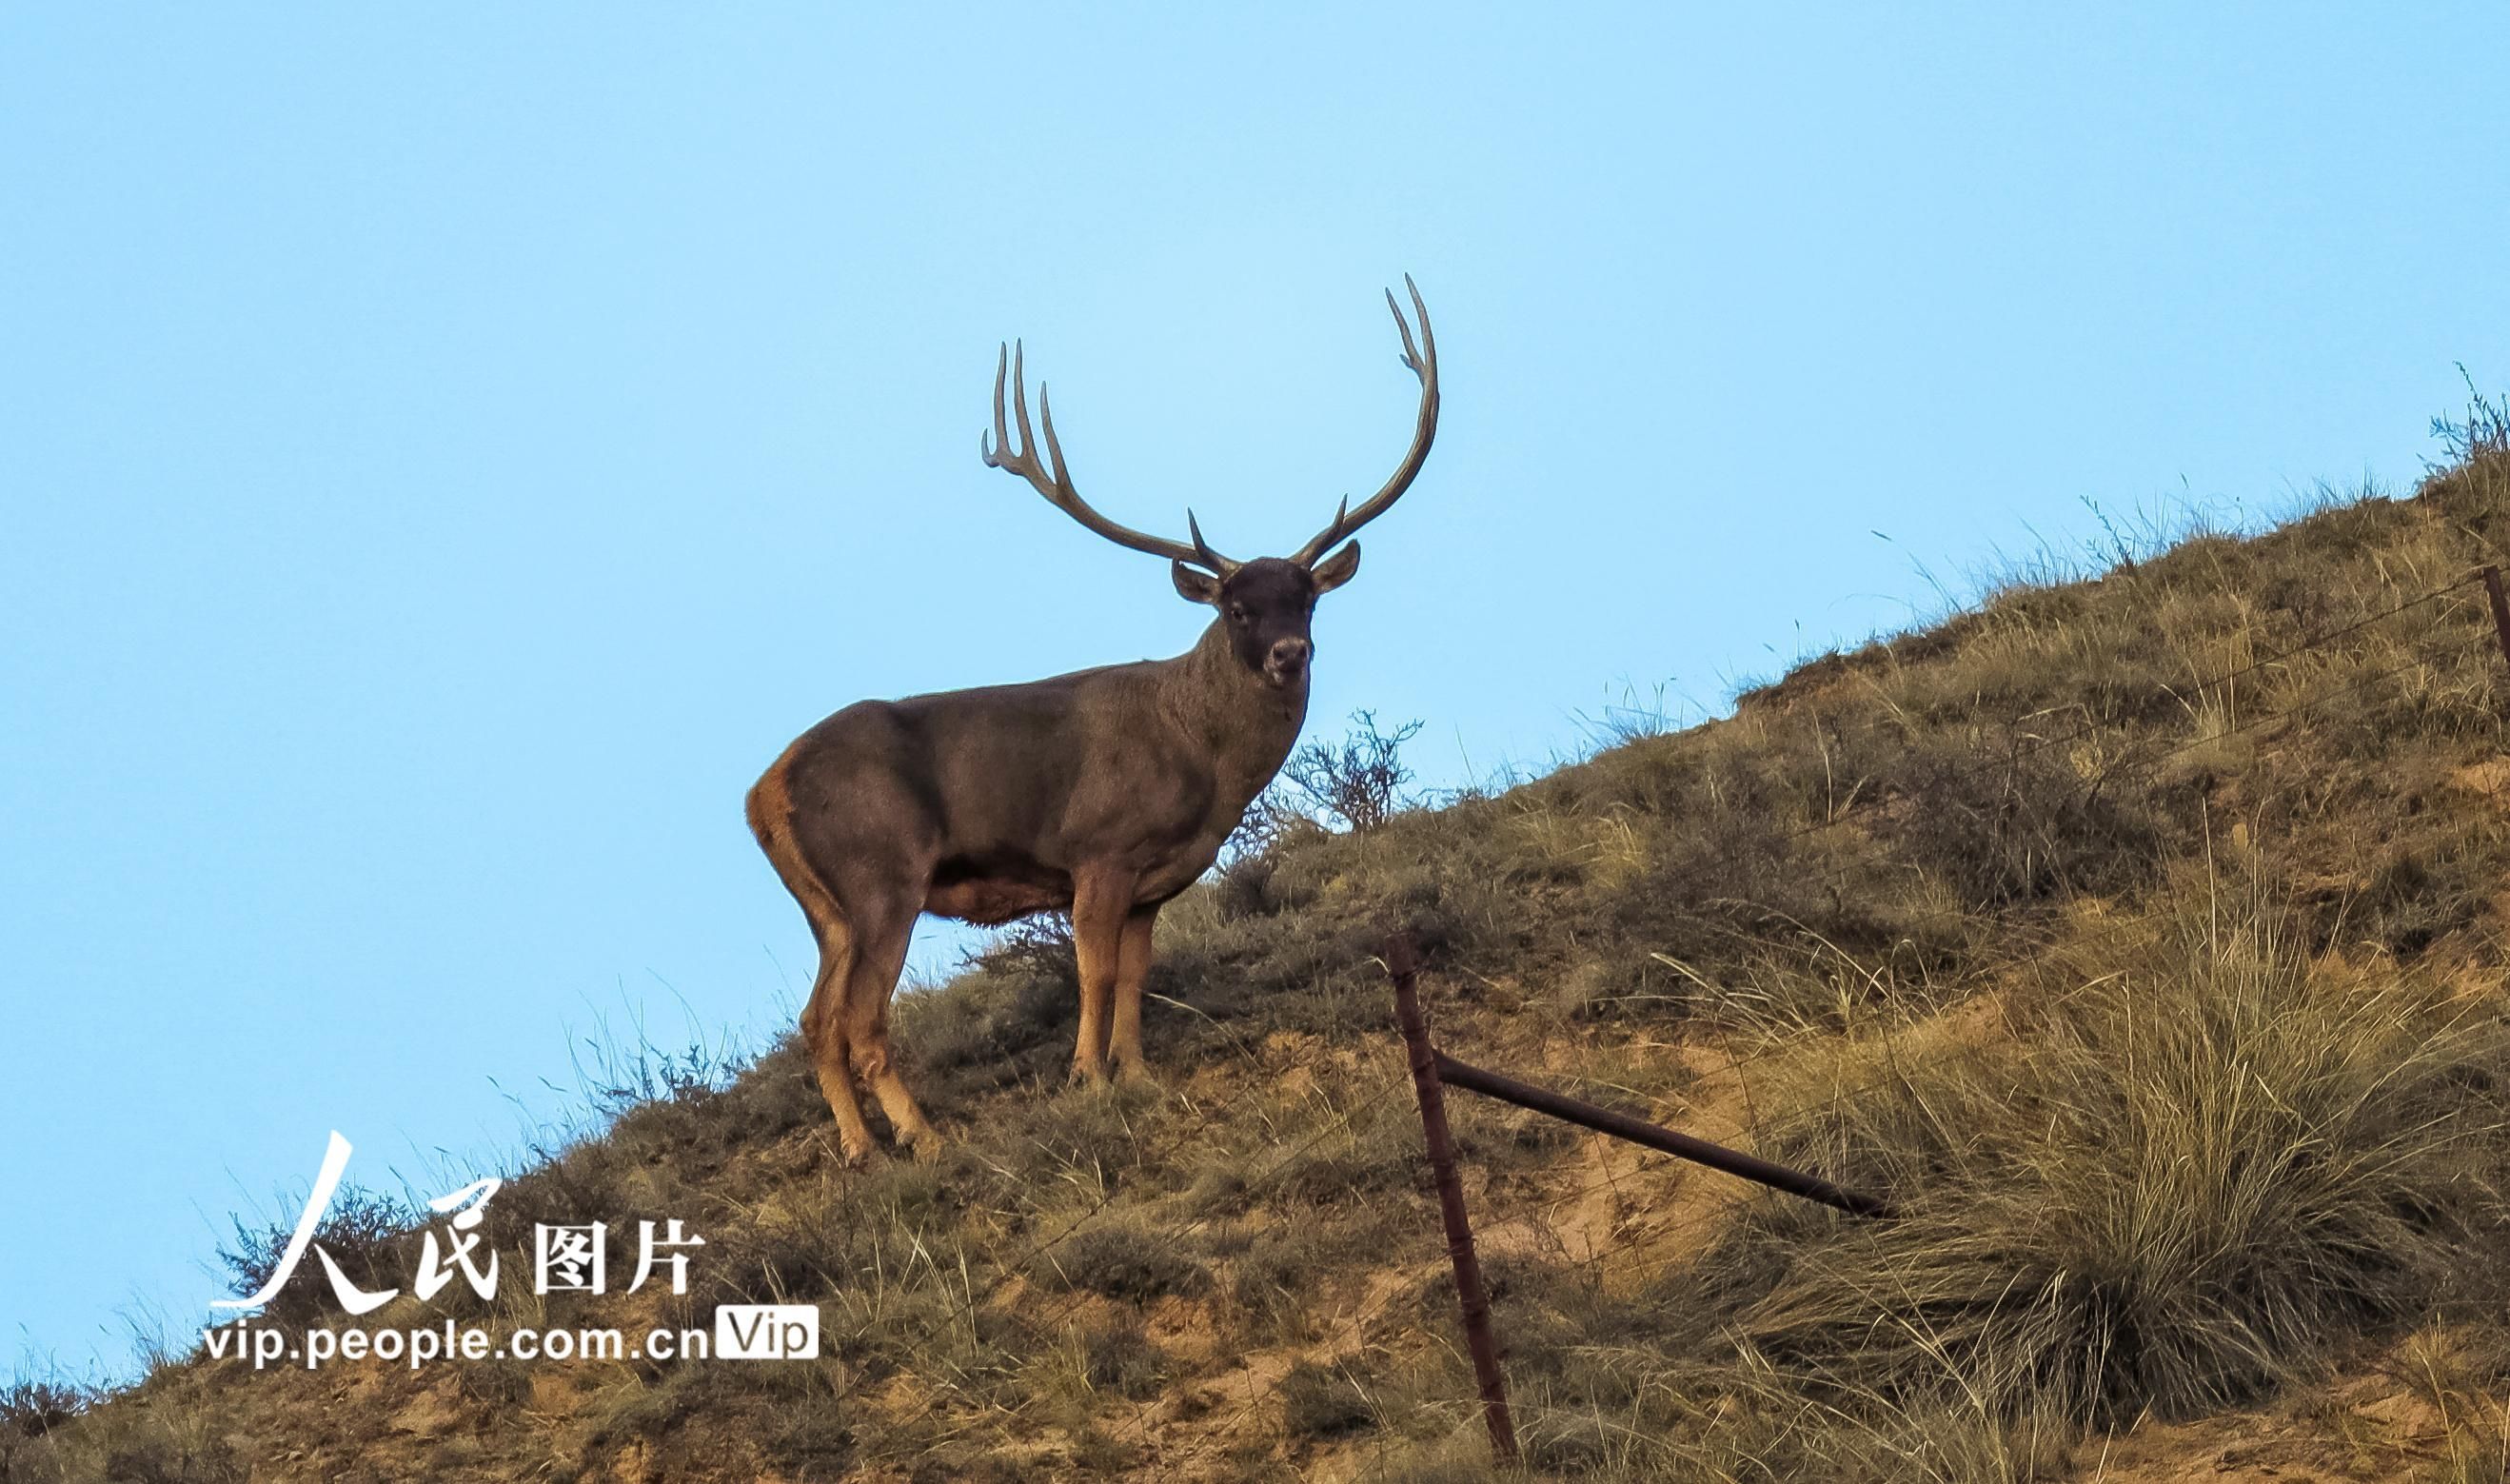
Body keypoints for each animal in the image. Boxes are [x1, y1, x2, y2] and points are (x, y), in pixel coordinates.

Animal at [742, 276, 1445, 1159]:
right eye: (1238, 609)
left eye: (1307, 598)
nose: (1289, 652)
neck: (1202, 762)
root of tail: (760, 795)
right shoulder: (1098, 848)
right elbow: (1095, 970)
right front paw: (1087, 1076)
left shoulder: (1153, 879)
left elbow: (1137, 973)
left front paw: (1137, 1072)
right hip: (882, 874)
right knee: (861, 1019)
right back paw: (925, 1139)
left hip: (828, 909)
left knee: (816, 1019)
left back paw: (863, 1147)